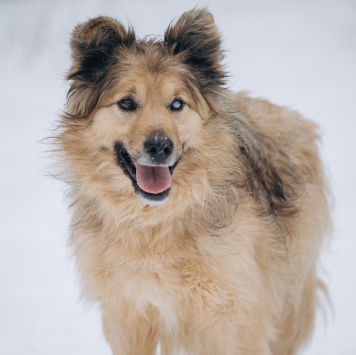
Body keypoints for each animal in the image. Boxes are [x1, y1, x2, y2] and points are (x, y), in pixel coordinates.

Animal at [55, 8, 330, 355]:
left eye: (177, 104)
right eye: (127, 103)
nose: (160, 146)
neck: (155, 223)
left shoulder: (235, 317)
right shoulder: (129, 314)